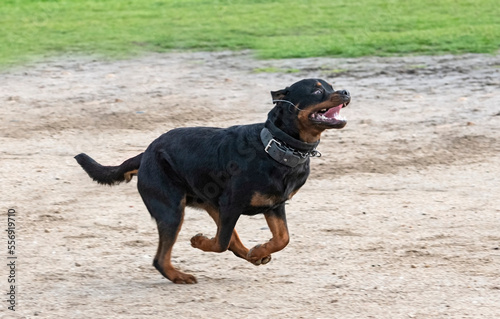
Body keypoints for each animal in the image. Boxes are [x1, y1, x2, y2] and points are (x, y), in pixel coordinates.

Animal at [76, 79, 352, 284]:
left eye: (331, 85)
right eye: (317, 89)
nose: (346, 91)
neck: (277, 146)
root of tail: (145, 154)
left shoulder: (274, 206)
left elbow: (282, 238)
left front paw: (259, 251)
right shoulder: (232, 204)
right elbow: (219, 243)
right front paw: (199, 242)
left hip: (209, 204)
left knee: (231, 241)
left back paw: (252, 256)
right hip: (172, 210)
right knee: (162, 258)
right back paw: (179, 275)